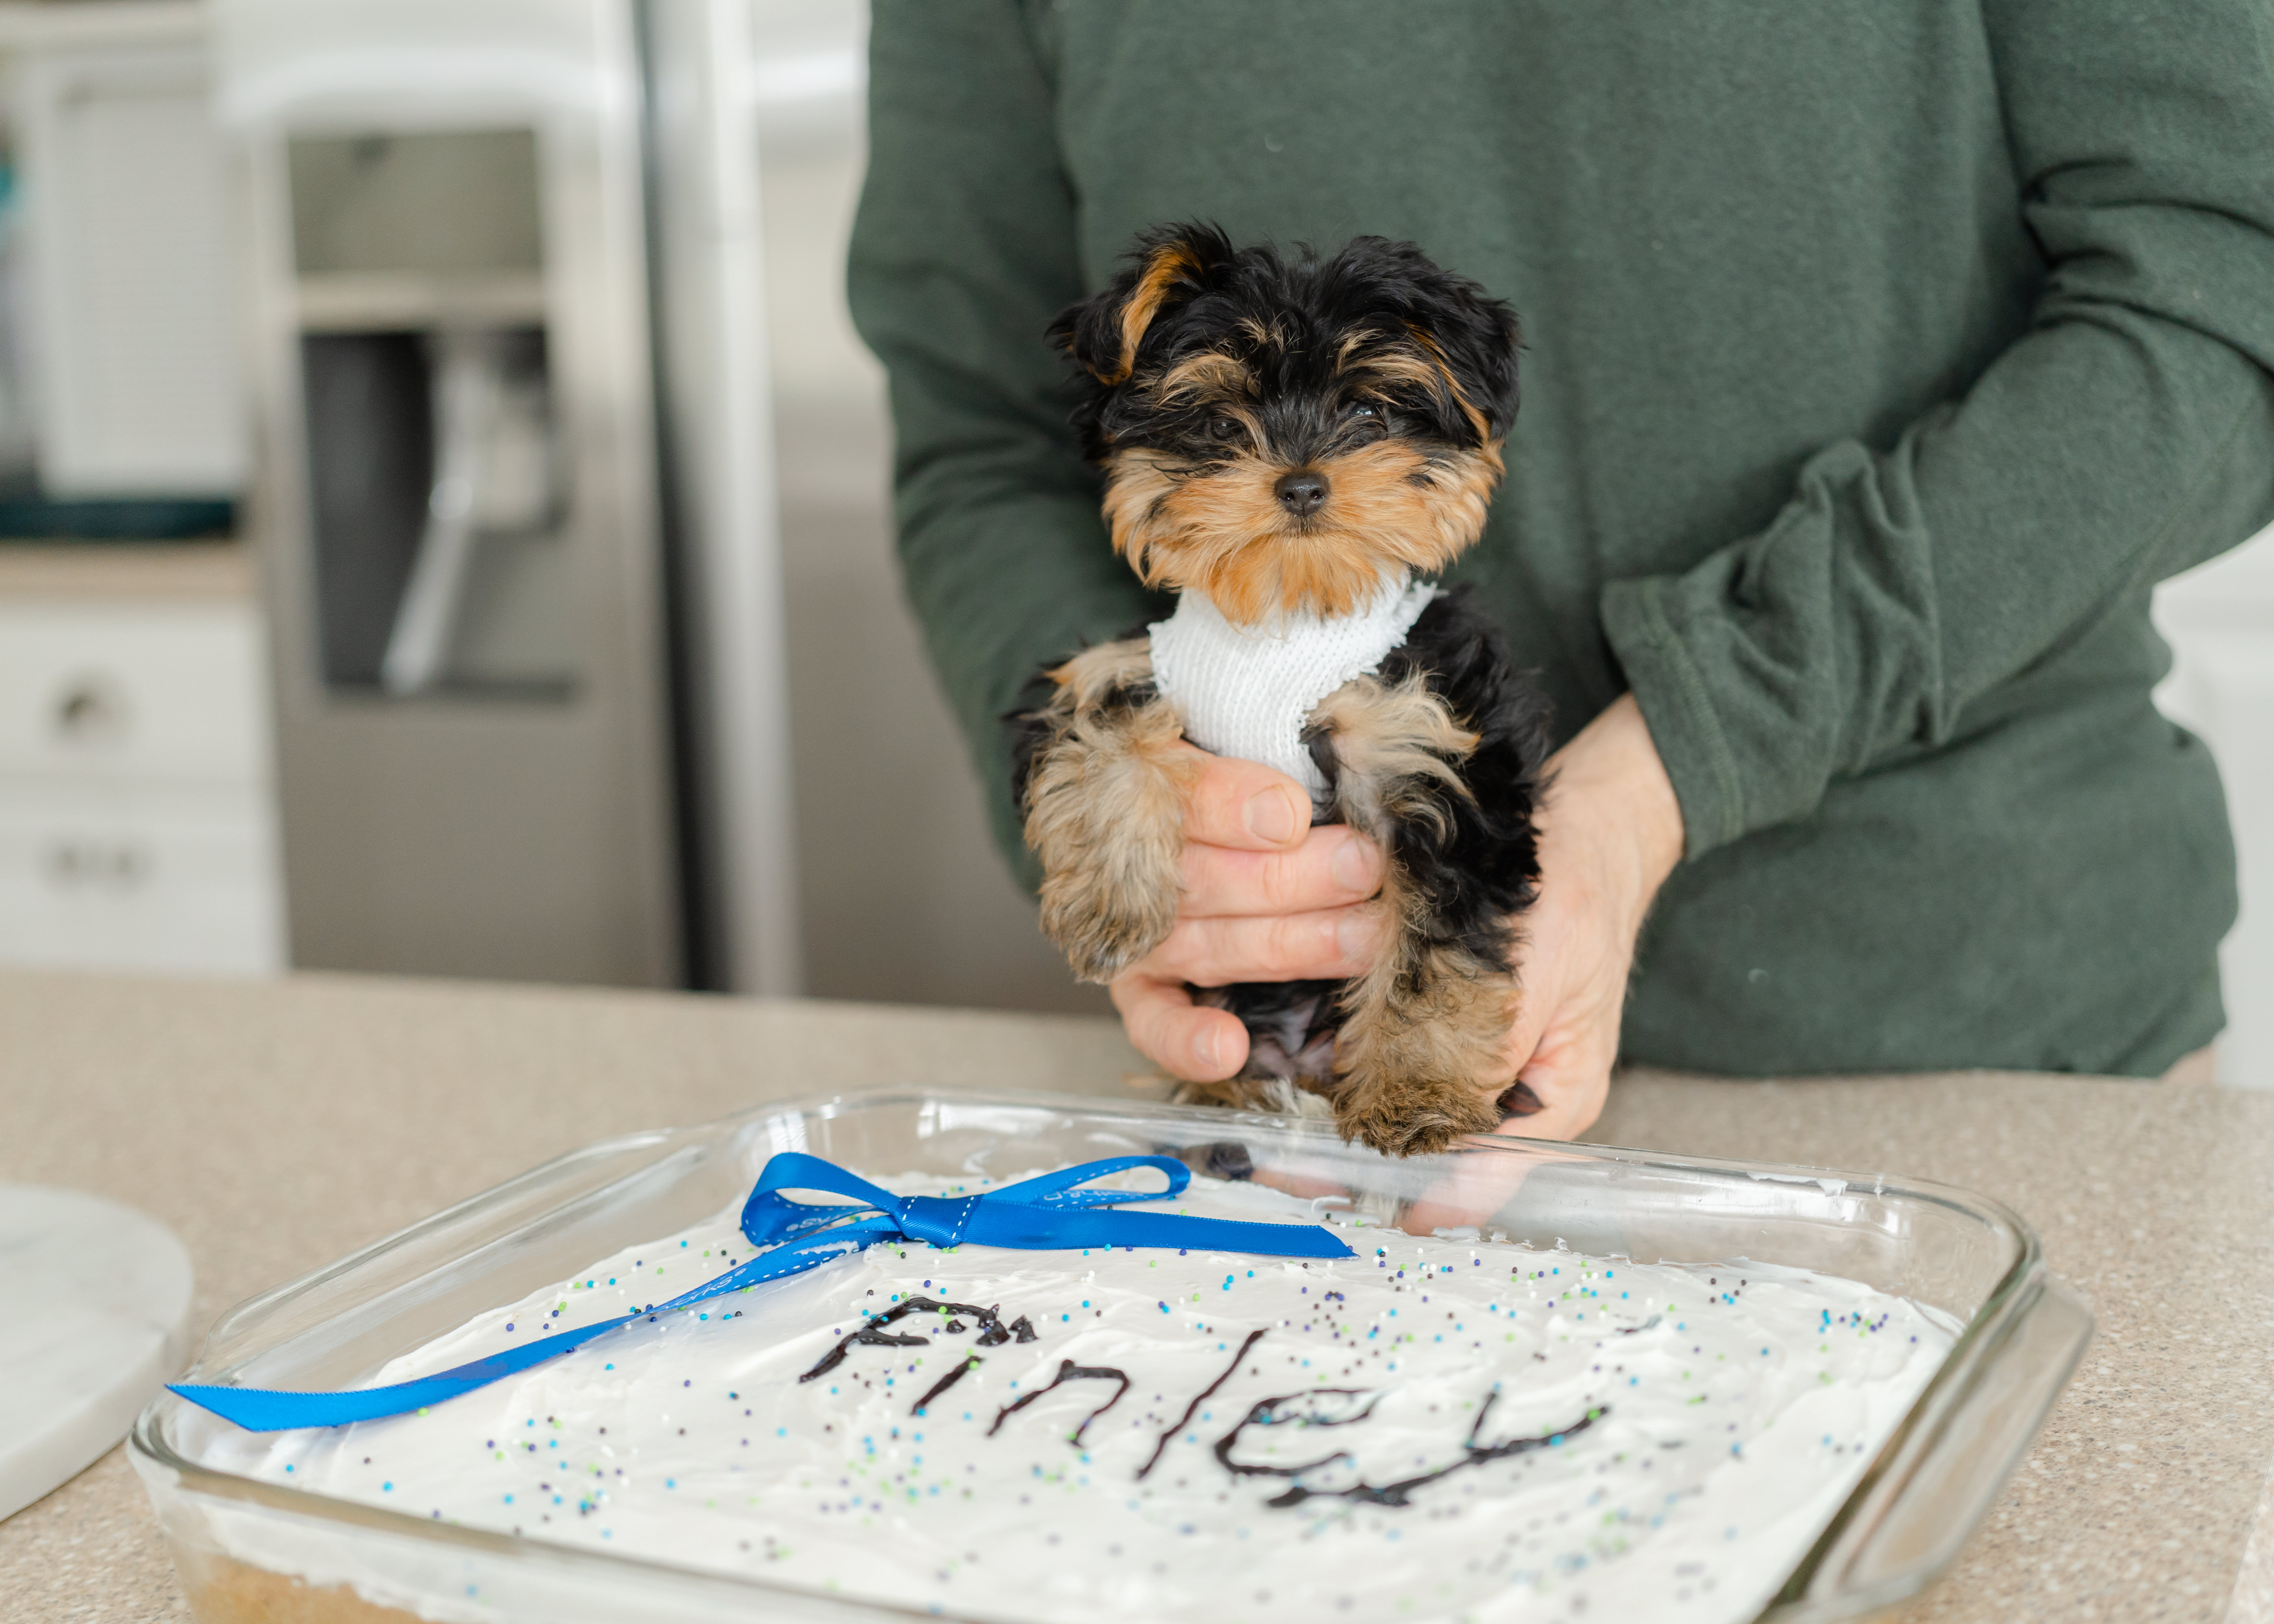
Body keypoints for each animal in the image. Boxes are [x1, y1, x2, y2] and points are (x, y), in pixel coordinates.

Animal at [1023, 227, 1555, 1155]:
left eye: (1369, 415)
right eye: (1214, 422)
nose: (1302, 483)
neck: (1288, 611)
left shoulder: (1434, 749)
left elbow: (1433, 949)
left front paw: (1414, 1092)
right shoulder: (1136, 664)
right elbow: (1104, 721)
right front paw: (1110, 903)